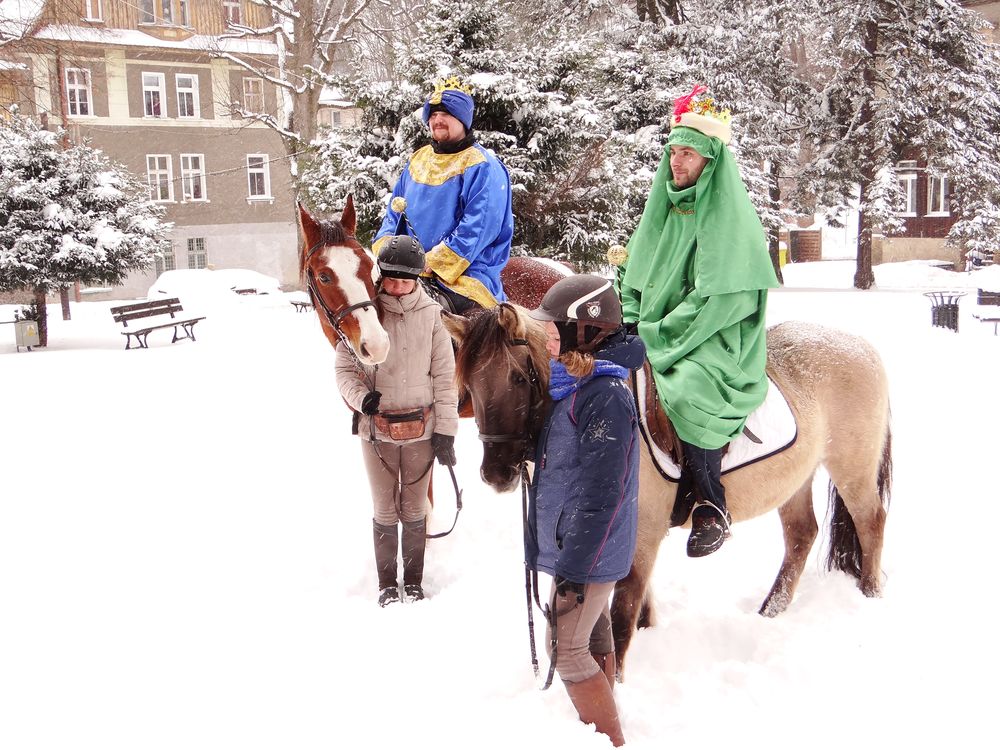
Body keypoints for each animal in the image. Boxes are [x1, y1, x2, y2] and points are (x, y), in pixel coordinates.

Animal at [442, 303, 892, 680]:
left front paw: (620, 681)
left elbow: (622, 614)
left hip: (851, 467)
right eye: (470, 388)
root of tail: (860, 346)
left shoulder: (642, 529)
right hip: (795, 480)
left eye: (518, 378)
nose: (495, 473)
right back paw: (770, 611)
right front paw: (648, 628)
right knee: (801, 536)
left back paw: (869, 592)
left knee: (871, 521)